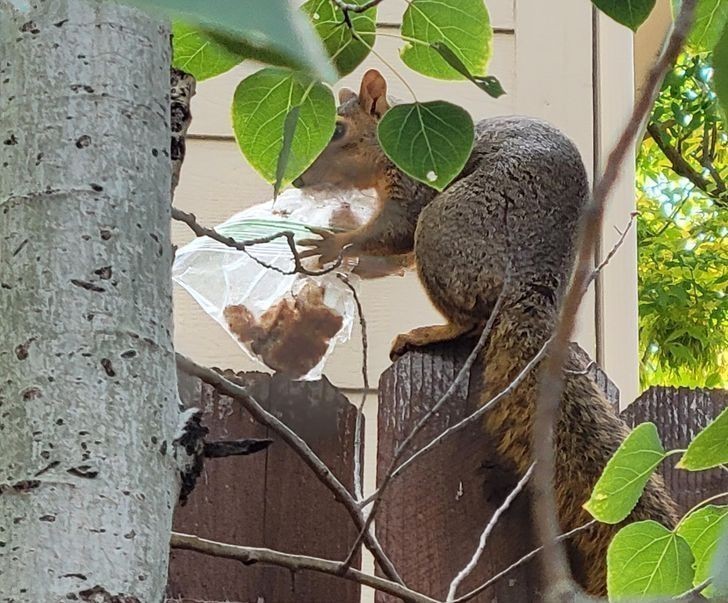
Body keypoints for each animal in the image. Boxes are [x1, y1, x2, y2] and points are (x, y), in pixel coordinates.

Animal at [292, 69, 680, 596]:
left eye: (337, 130)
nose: (298, 179)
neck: (384, 152)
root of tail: (533, 278)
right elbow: (393, 253)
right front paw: (362, 264)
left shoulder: (415, 188)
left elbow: (392, 231)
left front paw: (336, 243)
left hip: (444, 228)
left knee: (471, 318)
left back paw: (428, 332)